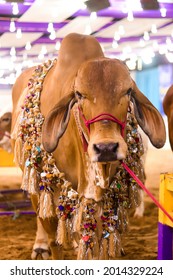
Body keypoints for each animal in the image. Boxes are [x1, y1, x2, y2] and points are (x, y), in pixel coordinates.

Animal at [11, 33, 166, 260]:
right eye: (79, 94)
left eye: (128, 91)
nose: (106, 148)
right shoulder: (45, 192)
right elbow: (55, 240)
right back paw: (40, 246)